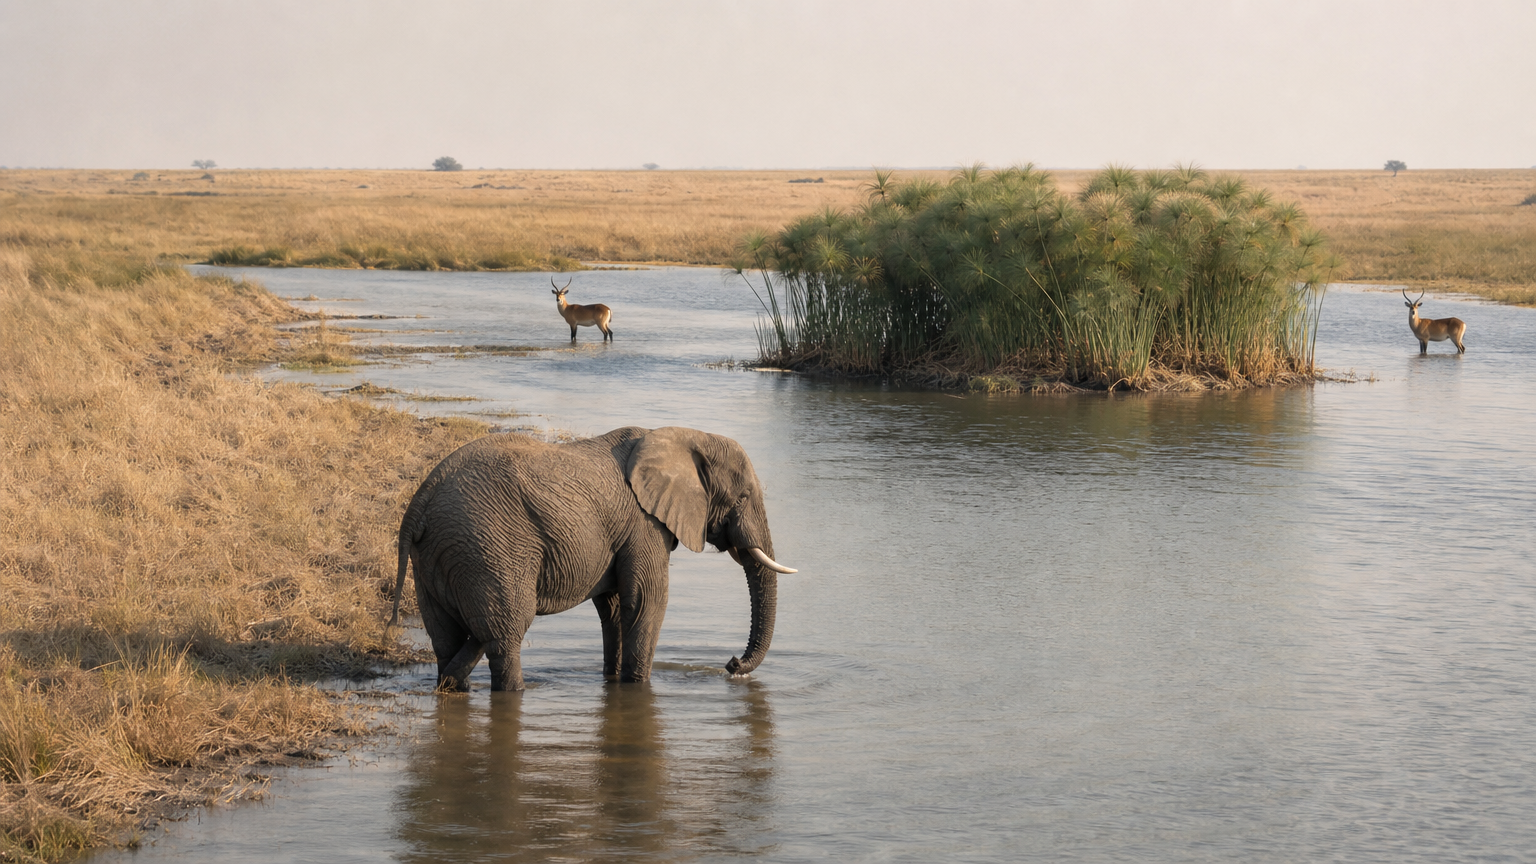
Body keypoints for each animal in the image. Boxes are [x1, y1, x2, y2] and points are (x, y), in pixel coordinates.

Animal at [388, 426, 796, 692]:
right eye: (743, 497)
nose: (731, 665)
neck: (682, 435)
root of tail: (420, 500)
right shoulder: (644, 525)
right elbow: (646, 601)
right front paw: (636, 687)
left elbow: (614, 607)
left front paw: (613, 679)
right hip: (488, 546)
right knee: (509, 628)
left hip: (437, 558)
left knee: (450, 636)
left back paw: (450, 684)